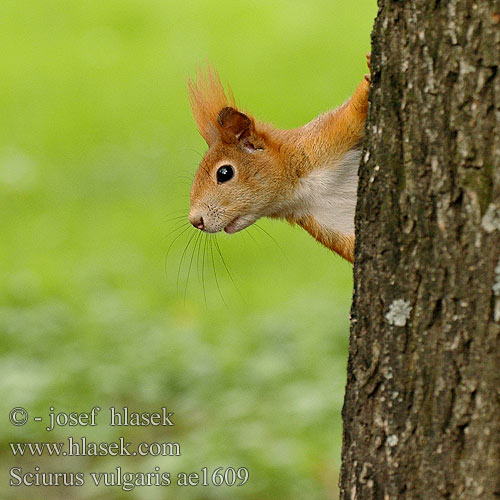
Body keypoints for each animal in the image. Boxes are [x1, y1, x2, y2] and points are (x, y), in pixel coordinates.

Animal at [186, 56, 370, 264]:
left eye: (224, 173)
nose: (195, 221)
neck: (301, 190)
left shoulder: (327, 137)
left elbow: (353, 111)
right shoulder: (328, 222)